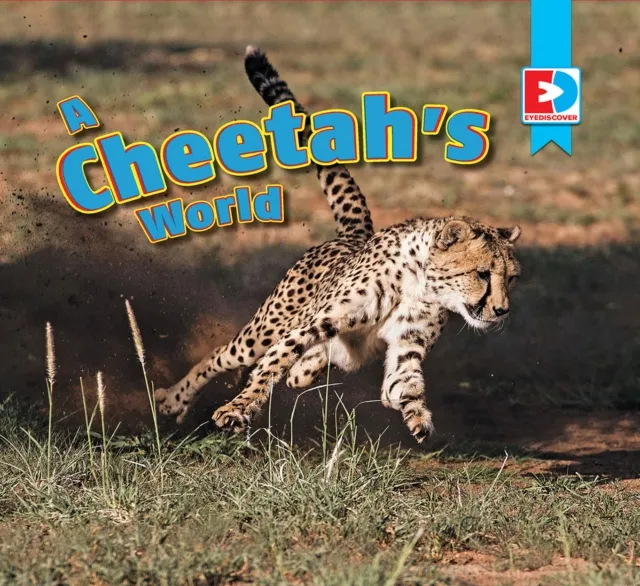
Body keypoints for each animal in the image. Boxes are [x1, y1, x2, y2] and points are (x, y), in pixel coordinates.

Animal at [154, 46, 522, 443]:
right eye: (482, 274)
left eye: (511, 278)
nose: (501, 310)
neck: (420, 283)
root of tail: (353, 236)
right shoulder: (316, 322)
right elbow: (273, 362)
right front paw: (238, 408)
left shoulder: (406, 345)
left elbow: (403, 383)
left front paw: (418, 417)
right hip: (264, 329)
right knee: (224, 355)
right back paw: (173, 399)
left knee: (305, 371)